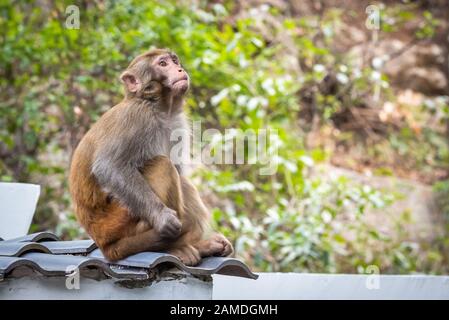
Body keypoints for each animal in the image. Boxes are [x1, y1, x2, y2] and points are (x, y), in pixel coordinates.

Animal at [69, 48, 234, 264]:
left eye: (174, 61)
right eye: (163, 64)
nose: (180, 69)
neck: (160, 108)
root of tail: (106, 246)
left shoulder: (177, 123)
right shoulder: (137, 116)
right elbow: (108, 166)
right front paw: (162, 218)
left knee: (180, 178)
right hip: (118, 222)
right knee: (162, 165)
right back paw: (167, 245)